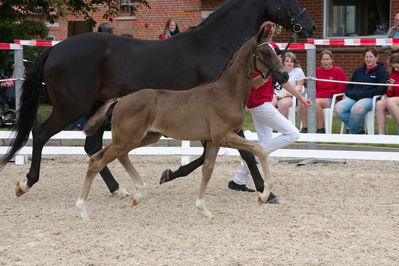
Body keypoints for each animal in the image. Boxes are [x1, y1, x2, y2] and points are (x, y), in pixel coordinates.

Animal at [1, 0, 318, 197]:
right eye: (288, 0)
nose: (311, 26)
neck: (215, 45)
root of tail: (55, 49)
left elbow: (209, 154)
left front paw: (170, 173)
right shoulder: (217, 116)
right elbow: (244, 153)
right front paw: (268, 191)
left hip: (96, 109)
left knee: (92, 146)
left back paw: (117, 189)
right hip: (71, 107)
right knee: (41, 133)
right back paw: (27, 183)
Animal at [77, 27, 290, 219]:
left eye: (275, 51)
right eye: (265, 53)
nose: (284, 75)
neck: (227, 93)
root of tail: (120, 99)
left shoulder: (213, 141)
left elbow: (207, 170)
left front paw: (203, 209)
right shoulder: (224, 137)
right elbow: (259, 150)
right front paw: (264, 196)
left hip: (144, 137)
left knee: (118, 156)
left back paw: (138, 192)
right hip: (126, 139)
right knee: (97, 160)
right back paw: (83, 209)